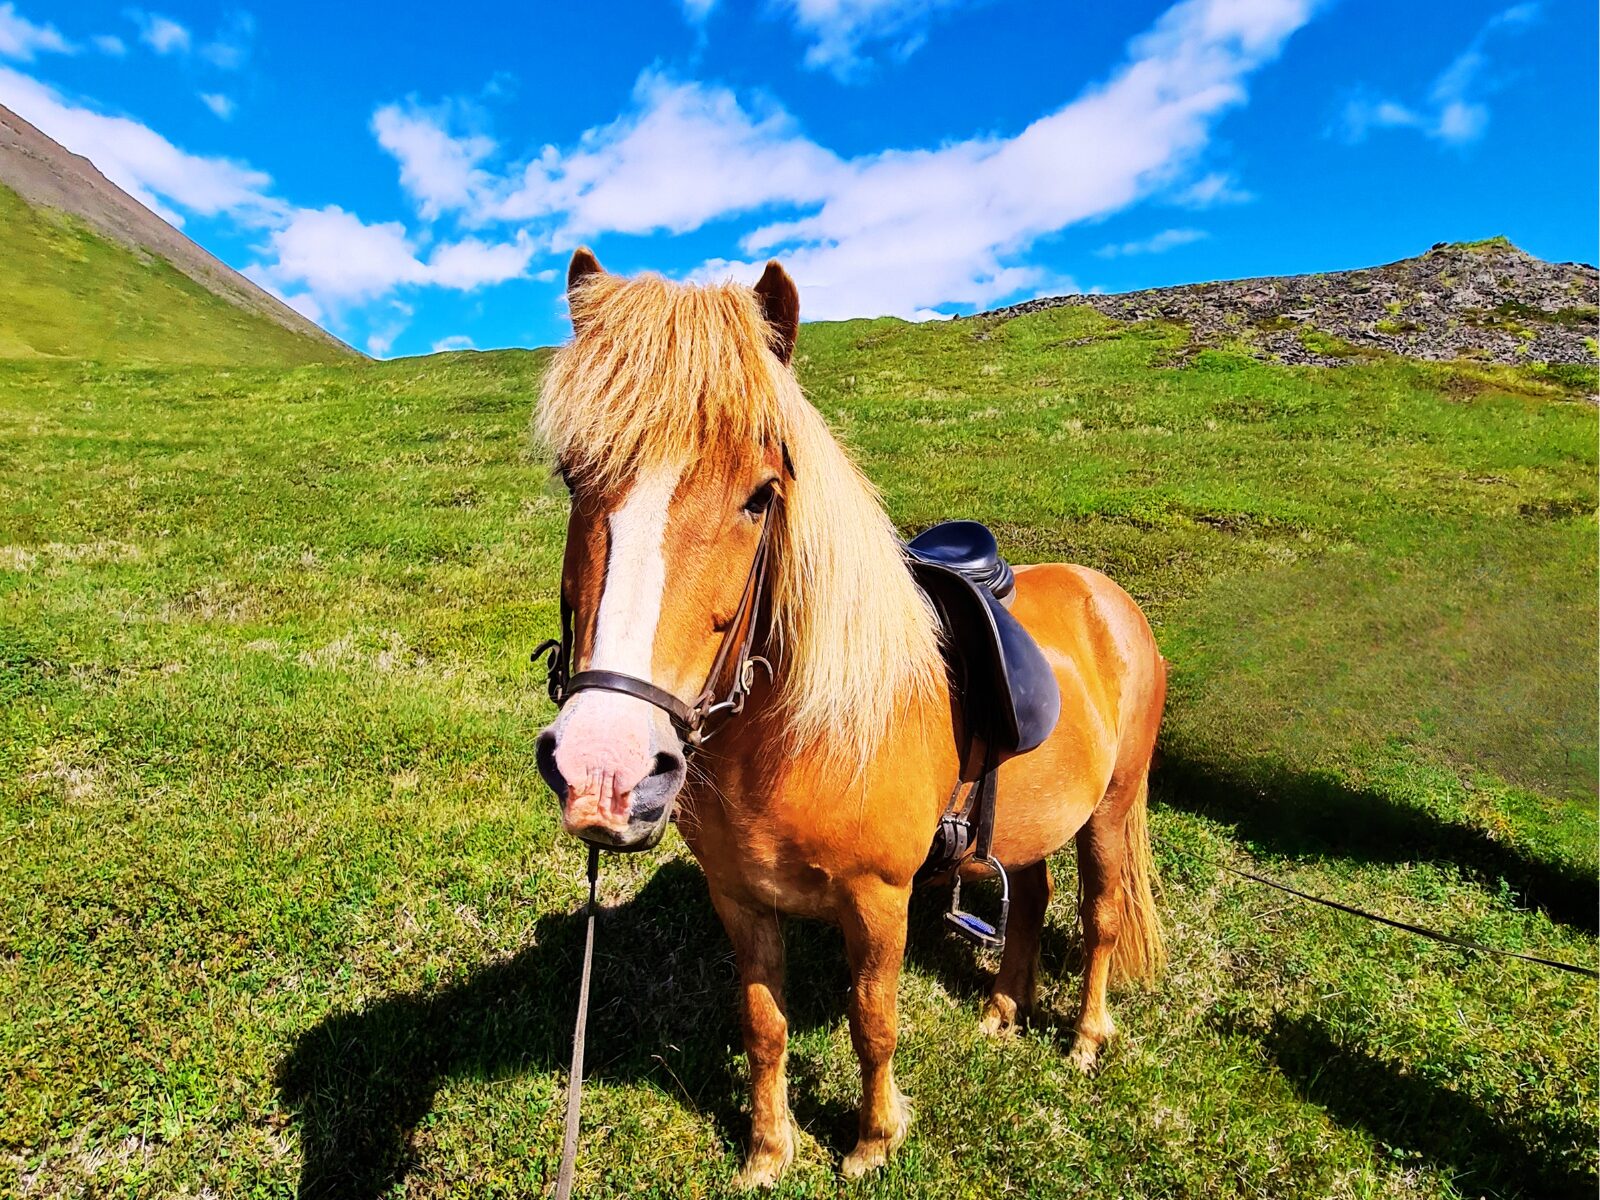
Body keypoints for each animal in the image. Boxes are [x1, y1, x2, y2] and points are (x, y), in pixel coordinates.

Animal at [534, 249, 1166, 1186]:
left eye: (761, 496)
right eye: (574, 479)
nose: (605, 770)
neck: (796, 738)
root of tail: (1109, 599)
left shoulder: (878, 900)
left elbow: (874, 1024)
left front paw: (871, 1142)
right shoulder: (739, 897)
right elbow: (764, 1025)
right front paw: (768, 1151)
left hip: (1114, 809)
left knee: (1101, 917)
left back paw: (1086, 1039)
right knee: (1034, 896)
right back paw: (1002, 1011)